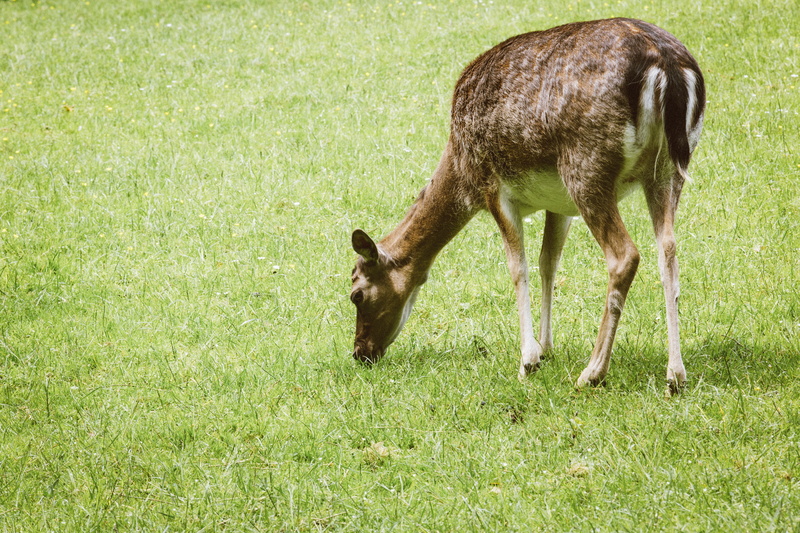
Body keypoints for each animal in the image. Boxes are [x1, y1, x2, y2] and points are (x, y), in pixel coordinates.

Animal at [349, 18, 705, 394]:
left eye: (356, 295)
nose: (360, 352)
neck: (460, 167)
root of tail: (667, 66)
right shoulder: (559, 204)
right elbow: (548, 261)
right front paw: (547, 348)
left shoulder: (493, 186)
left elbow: (517, 268)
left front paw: (528, 361)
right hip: (668, 170)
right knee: (668, 248)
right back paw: (675, 375)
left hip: (586, 166)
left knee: (625, 255)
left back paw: (592, 372)